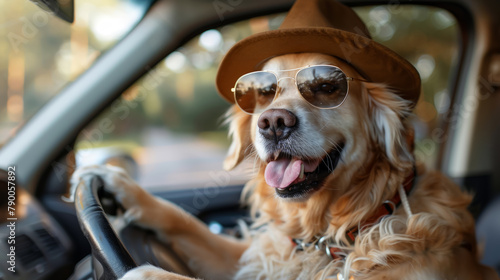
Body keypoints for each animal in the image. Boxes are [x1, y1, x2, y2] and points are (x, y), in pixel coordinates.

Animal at [72, 51, 498, 278]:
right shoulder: (252, 256)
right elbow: (187, 221)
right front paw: (121, 186)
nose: (273, 122)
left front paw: (146, 270)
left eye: (326, 87)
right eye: (262, 91)